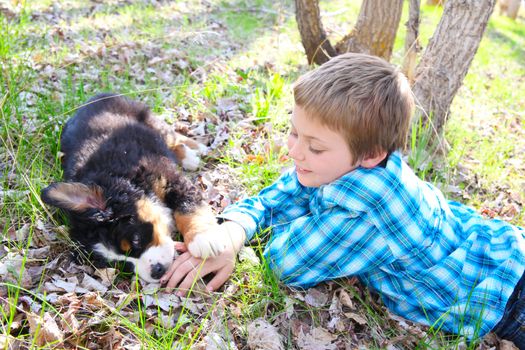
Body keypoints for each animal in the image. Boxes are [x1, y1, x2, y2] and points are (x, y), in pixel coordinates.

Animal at [39, 94, 223, 284]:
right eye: (122, 265)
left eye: (135, 241)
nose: (156, 272)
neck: (122, 178)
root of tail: (96, 96)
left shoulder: (169, 179)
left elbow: (188, 205)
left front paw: (204, 238)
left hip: (148, 119)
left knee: (172, 136)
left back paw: (193, 151)